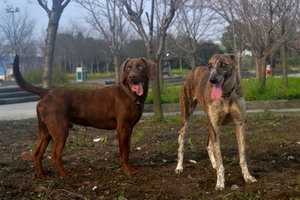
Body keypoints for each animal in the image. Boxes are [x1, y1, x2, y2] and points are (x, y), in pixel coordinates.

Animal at [12, 55, 156, 178]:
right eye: (128, 68)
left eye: (140, 67)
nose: (132, 76)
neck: (130, 95)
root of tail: (47, 92)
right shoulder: (123, 128)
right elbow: (124, 152)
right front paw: (128, 170)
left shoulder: (129, 128)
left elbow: (128, 149)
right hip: (60, 130)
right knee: (55, 155)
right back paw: (65, 176)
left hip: (45, 131)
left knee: (37, 153)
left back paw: (41, 175)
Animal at [175, 54, 256, 191]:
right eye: (210, 65)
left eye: (223, 65)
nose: (212, 80)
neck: (226, 95)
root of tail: (193, 70)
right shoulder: (215, 126)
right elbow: (219, 158)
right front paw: (220, 183)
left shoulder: (239, 124)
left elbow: (242, 156)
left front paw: (247, 177)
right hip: (186, 118)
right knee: (181, 143)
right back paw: (179, 167)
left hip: (210, 124)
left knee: (208, 144)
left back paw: (213, 164)